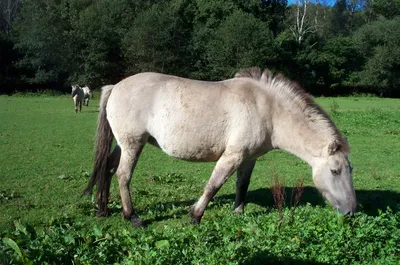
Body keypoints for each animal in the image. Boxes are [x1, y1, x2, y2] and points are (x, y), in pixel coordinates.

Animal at [83, 67, 356, 226]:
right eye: (335, 171)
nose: (352, 211)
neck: (267, 108)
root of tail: (115, 86)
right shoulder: (232, 156)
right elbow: (214, 184)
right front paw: (195, 216)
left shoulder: (248, 158)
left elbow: (242, 184)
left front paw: (238, 212)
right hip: (132, 144)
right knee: (123, 175)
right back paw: (132, 217)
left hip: (122, 144)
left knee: (108, 169)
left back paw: (102, 209)